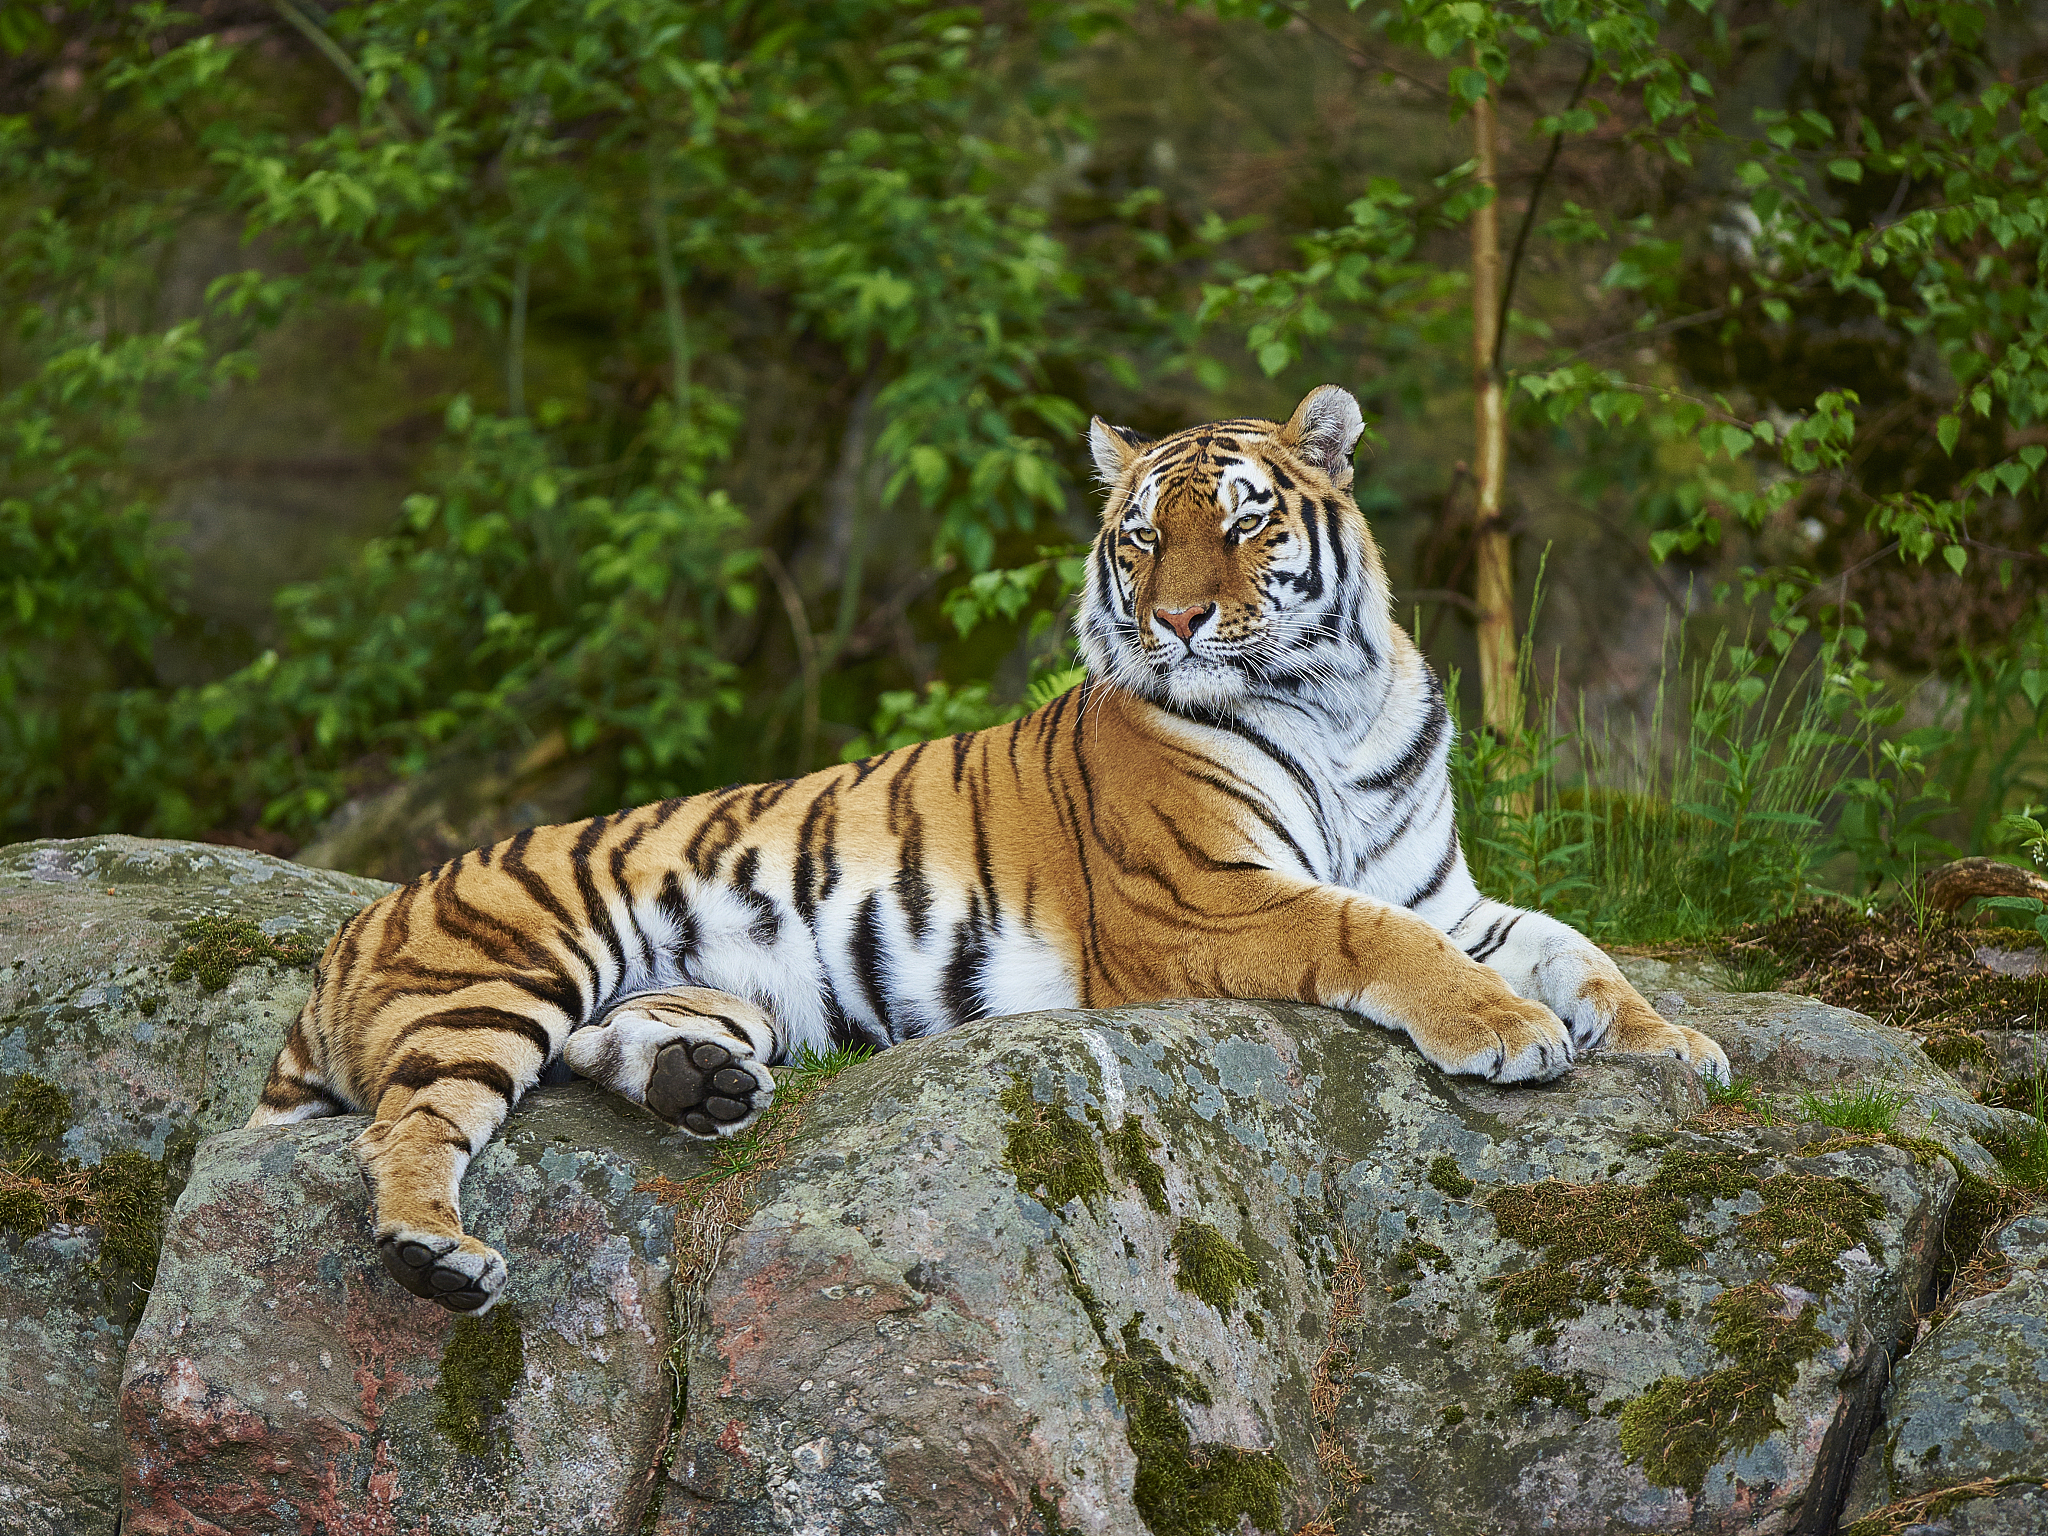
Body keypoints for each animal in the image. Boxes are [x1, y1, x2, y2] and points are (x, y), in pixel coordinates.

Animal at [248, 384, 1730, 1315]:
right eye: (1143, 538)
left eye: (1244, 522)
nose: (1179, 620)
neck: (1334, 697)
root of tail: (350, 932)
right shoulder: (1205, 901)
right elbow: (1378, 937)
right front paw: (1508, 1033)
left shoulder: (1442, 886)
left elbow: (1570, 946)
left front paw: (1673, 1045)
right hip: (503, 974)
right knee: (407, 1125)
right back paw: (436, 1255)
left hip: (714, 993)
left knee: (602, 1049)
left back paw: (698, 1091)